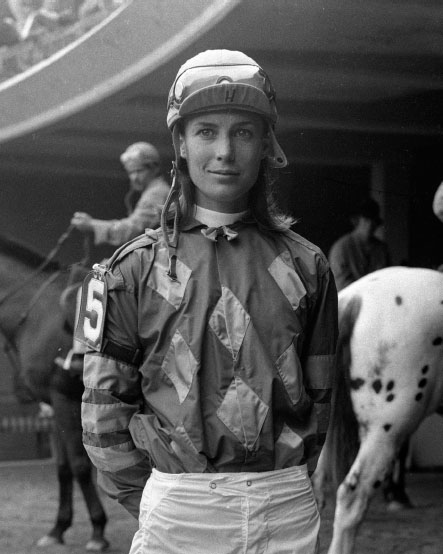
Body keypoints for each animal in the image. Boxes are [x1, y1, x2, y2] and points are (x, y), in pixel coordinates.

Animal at [0, 232, 109, 548]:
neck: (35, 313)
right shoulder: (53, 404)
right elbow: (63, 468)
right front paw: (58, 528)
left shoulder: (64, 400)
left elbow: (80, 465)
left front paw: (98, 530)